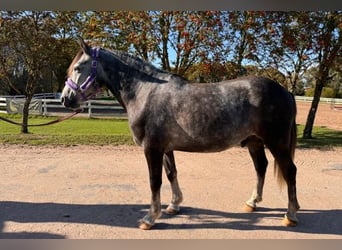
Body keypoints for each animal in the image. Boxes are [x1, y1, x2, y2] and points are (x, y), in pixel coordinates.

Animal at [60, 38, 300, 229]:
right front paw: (174, 205)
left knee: (290, 171)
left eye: (79, 67)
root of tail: (285, 91)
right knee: (261, 167)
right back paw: (252, 202)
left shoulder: (152, 149)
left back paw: (290, 215)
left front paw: (150, 218)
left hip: (276, 142)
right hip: (254, 142)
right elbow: (171, 174)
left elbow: (154, 181)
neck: (144, 92)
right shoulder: (165, 148)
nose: (65, 99)